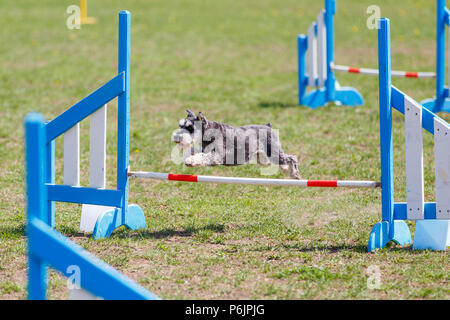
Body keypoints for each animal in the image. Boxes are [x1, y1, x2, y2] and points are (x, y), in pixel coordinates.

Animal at [171, 110, 300, 180]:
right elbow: (197, 152)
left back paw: (295, 174)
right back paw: (286, 171)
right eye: (180, 125)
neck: (209, 131)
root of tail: (268, 126)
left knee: (292, 158)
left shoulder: (217, 156)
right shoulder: (204, 149)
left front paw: (190, 160)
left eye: (190, 128)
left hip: (273, 152)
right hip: (263, 158)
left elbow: (203, 157)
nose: (177, 137)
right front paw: (188, 157)